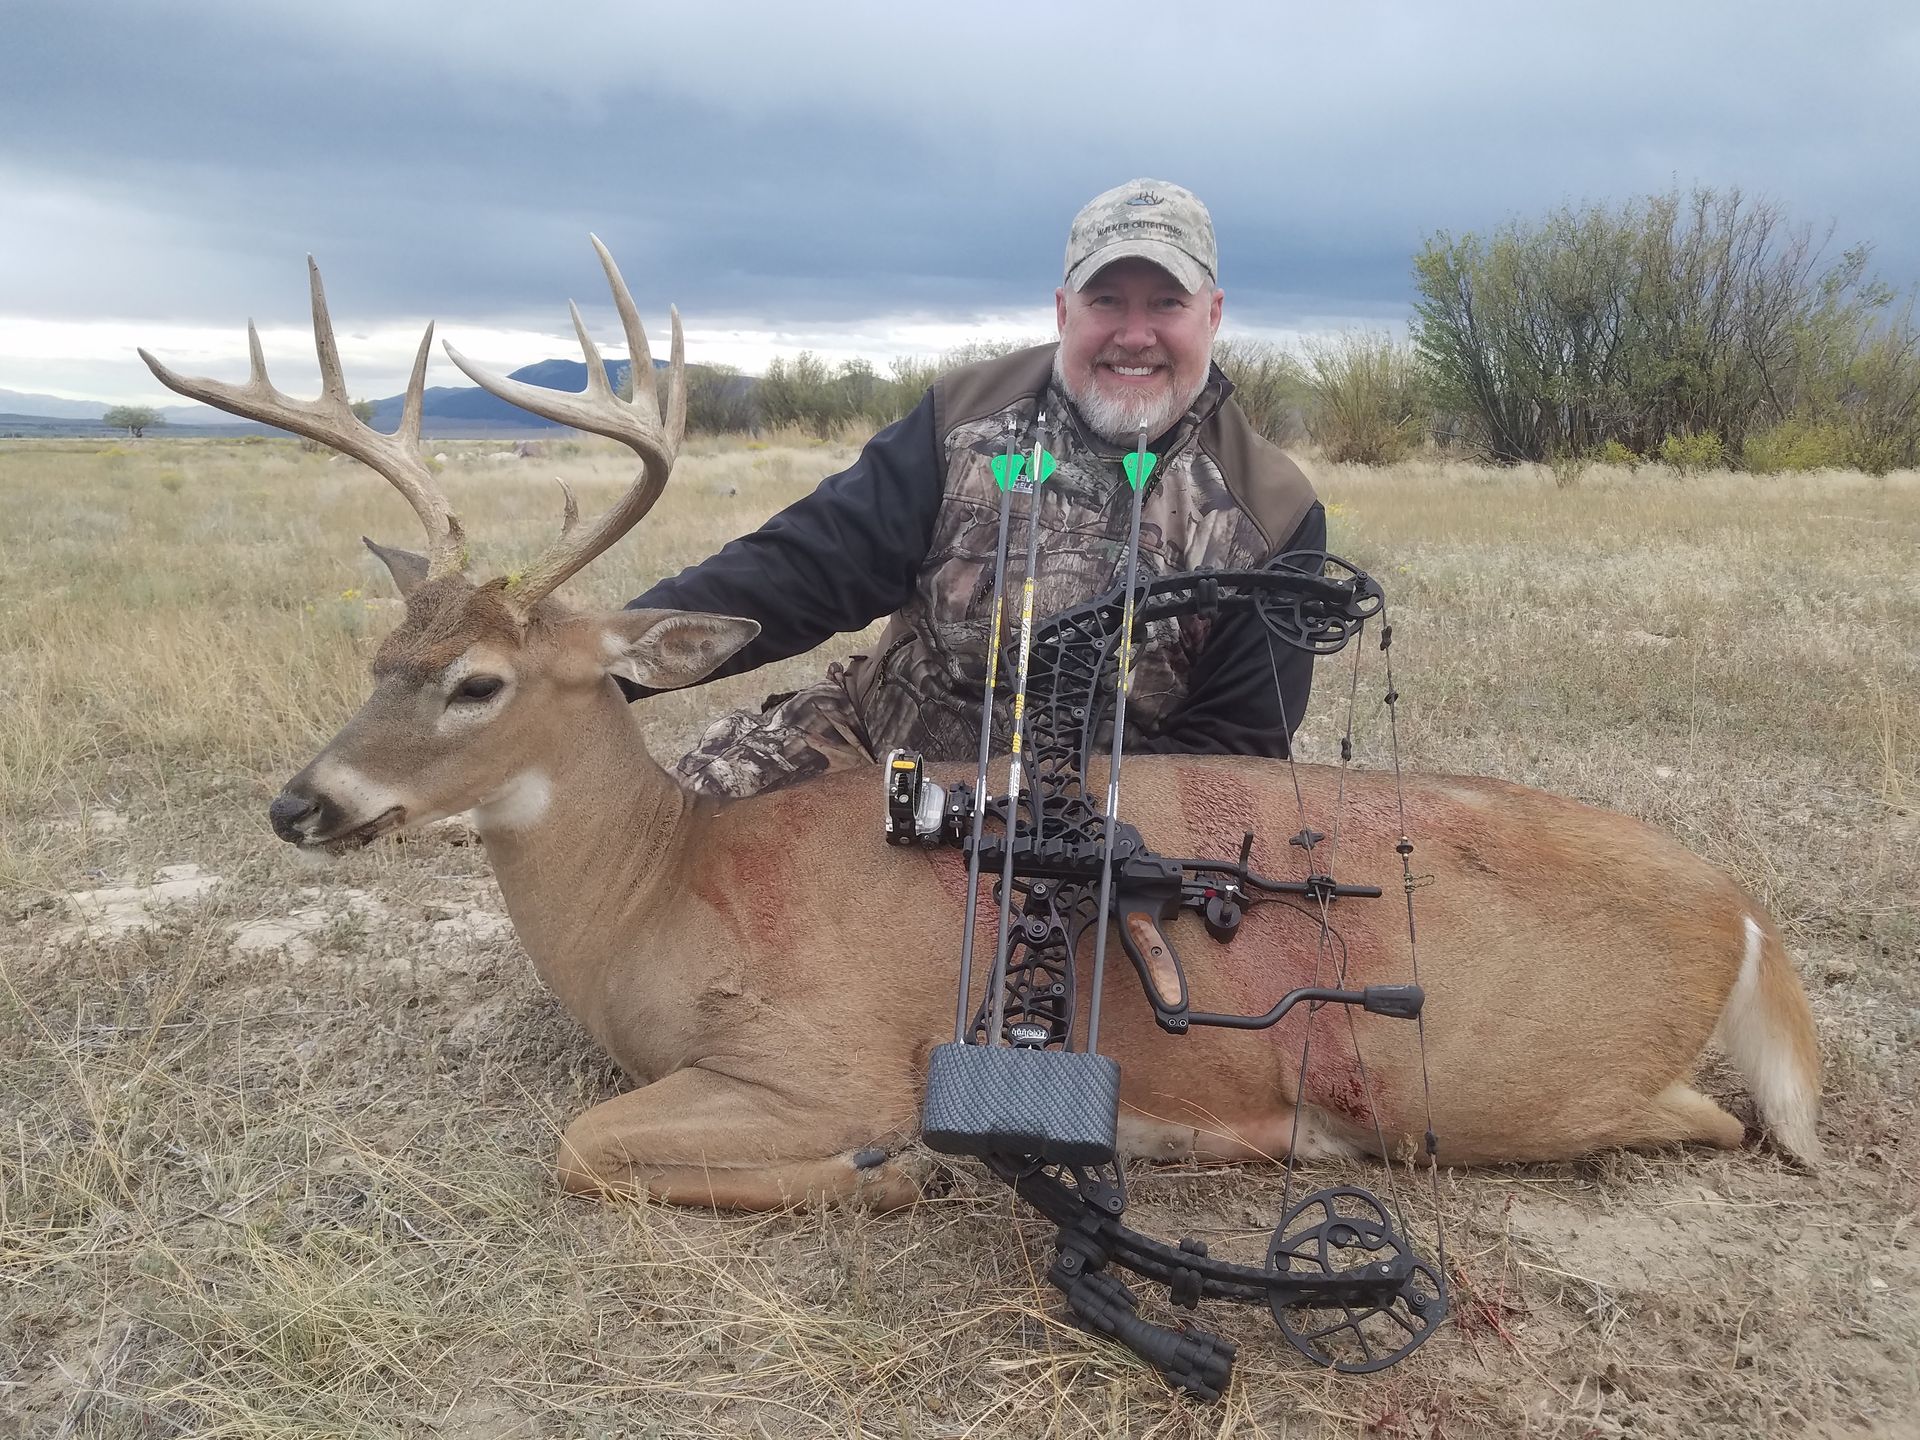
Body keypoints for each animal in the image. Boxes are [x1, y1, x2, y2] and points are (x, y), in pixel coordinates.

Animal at [139, 240, 1824, 1215]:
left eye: (480, 682)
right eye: (384, 651)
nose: (301, 803)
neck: (666, 900)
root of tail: (1747, 914)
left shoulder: (824, 1055)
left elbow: (591, 1147)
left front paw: (885, 1172)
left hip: (1475, 1075)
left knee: (1727, 1124)